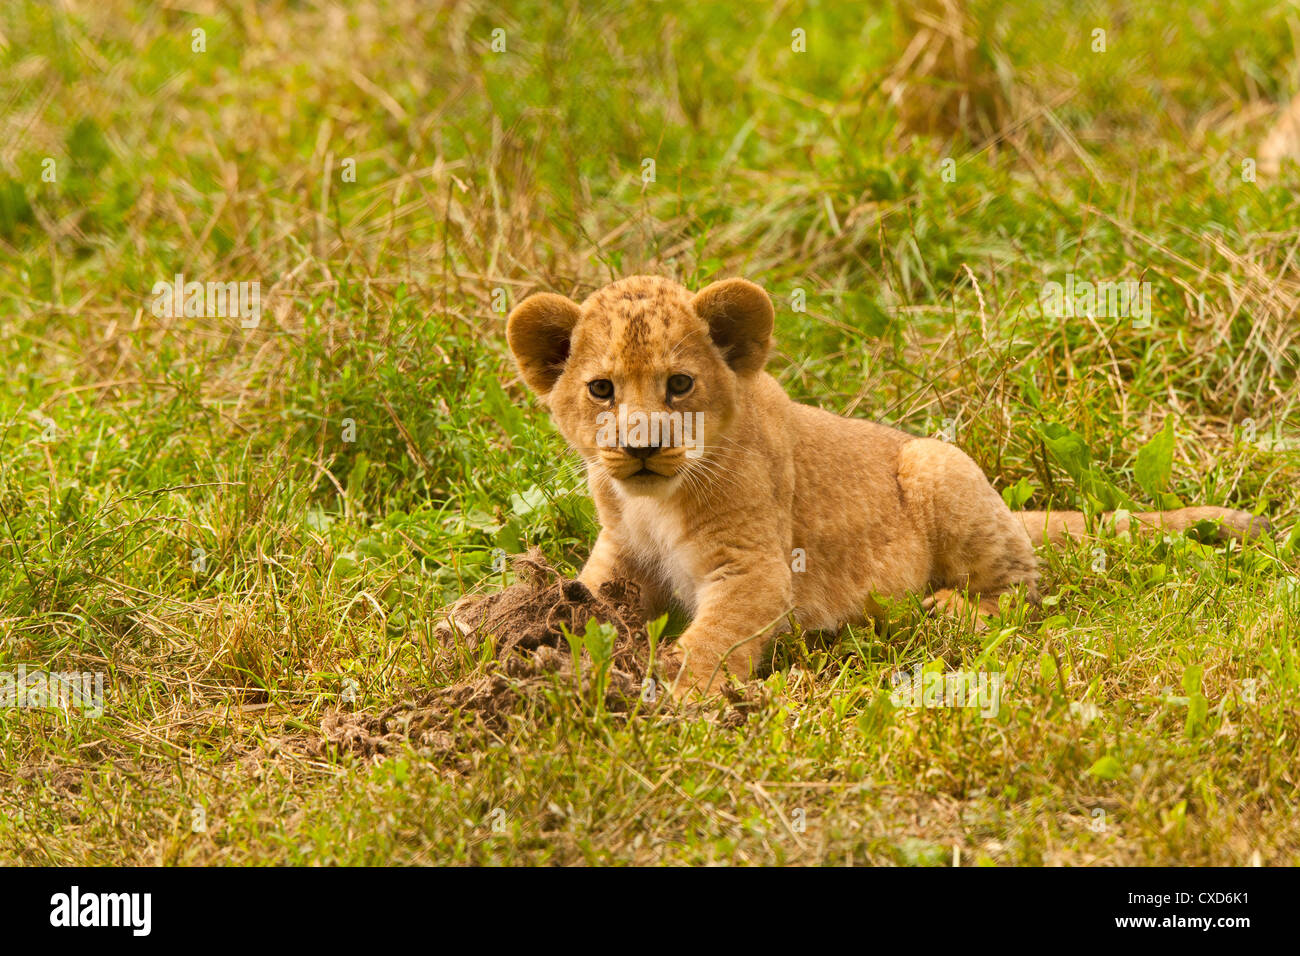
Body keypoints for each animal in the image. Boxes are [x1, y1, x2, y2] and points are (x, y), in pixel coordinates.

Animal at [506, 275, 1270, 696]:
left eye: (680, 385)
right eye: (601, 389)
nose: (639, 447)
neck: (653, 502)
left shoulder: (755, 567)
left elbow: (716, 636)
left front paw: (678, 693)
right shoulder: (619, 553)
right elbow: (589, 593)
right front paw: (530, 633)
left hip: (936, 463)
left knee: (1025, 590)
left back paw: (946, 612)